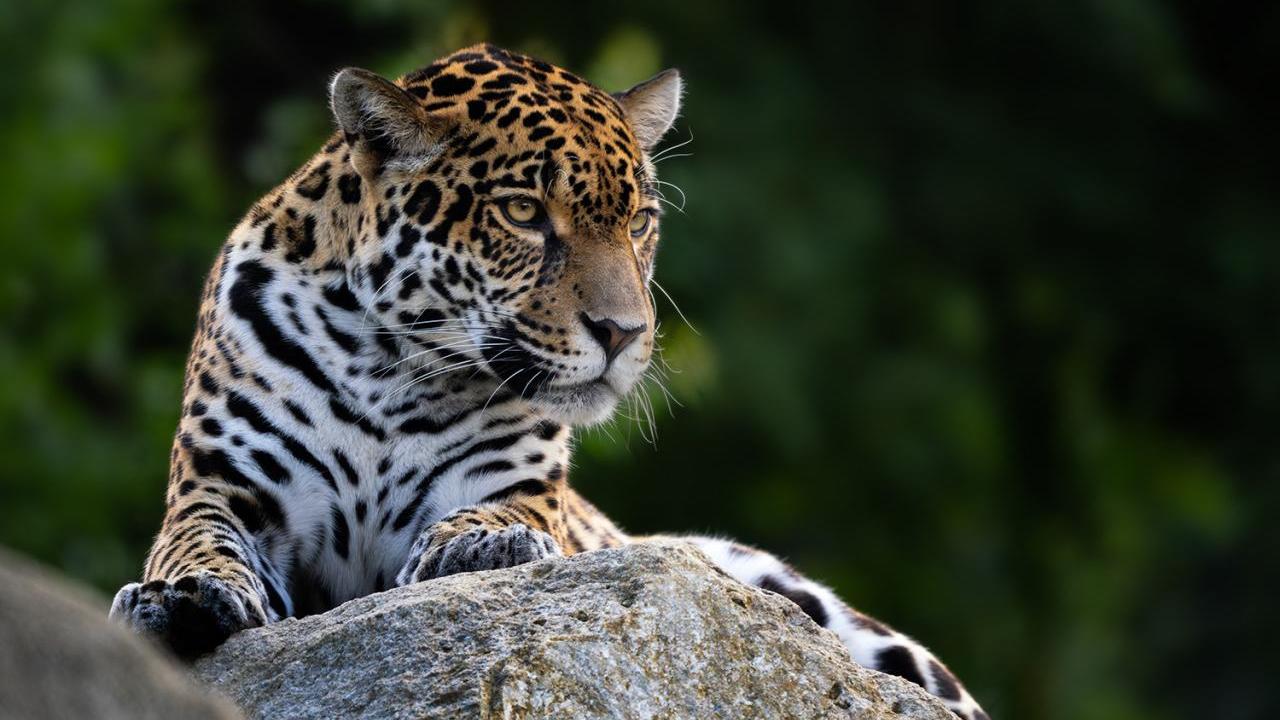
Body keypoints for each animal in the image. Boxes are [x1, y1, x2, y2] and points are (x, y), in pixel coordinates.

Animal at [109, 44, 988, 718]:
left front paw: (482, 542)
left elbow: (496, 516)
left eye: (639, 220)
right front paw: (179, 596)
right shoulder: (221, 487)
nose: (624, 333)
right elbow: (198, 541)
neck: (389, 368)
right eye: (525, 213)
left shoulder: (515, 486)